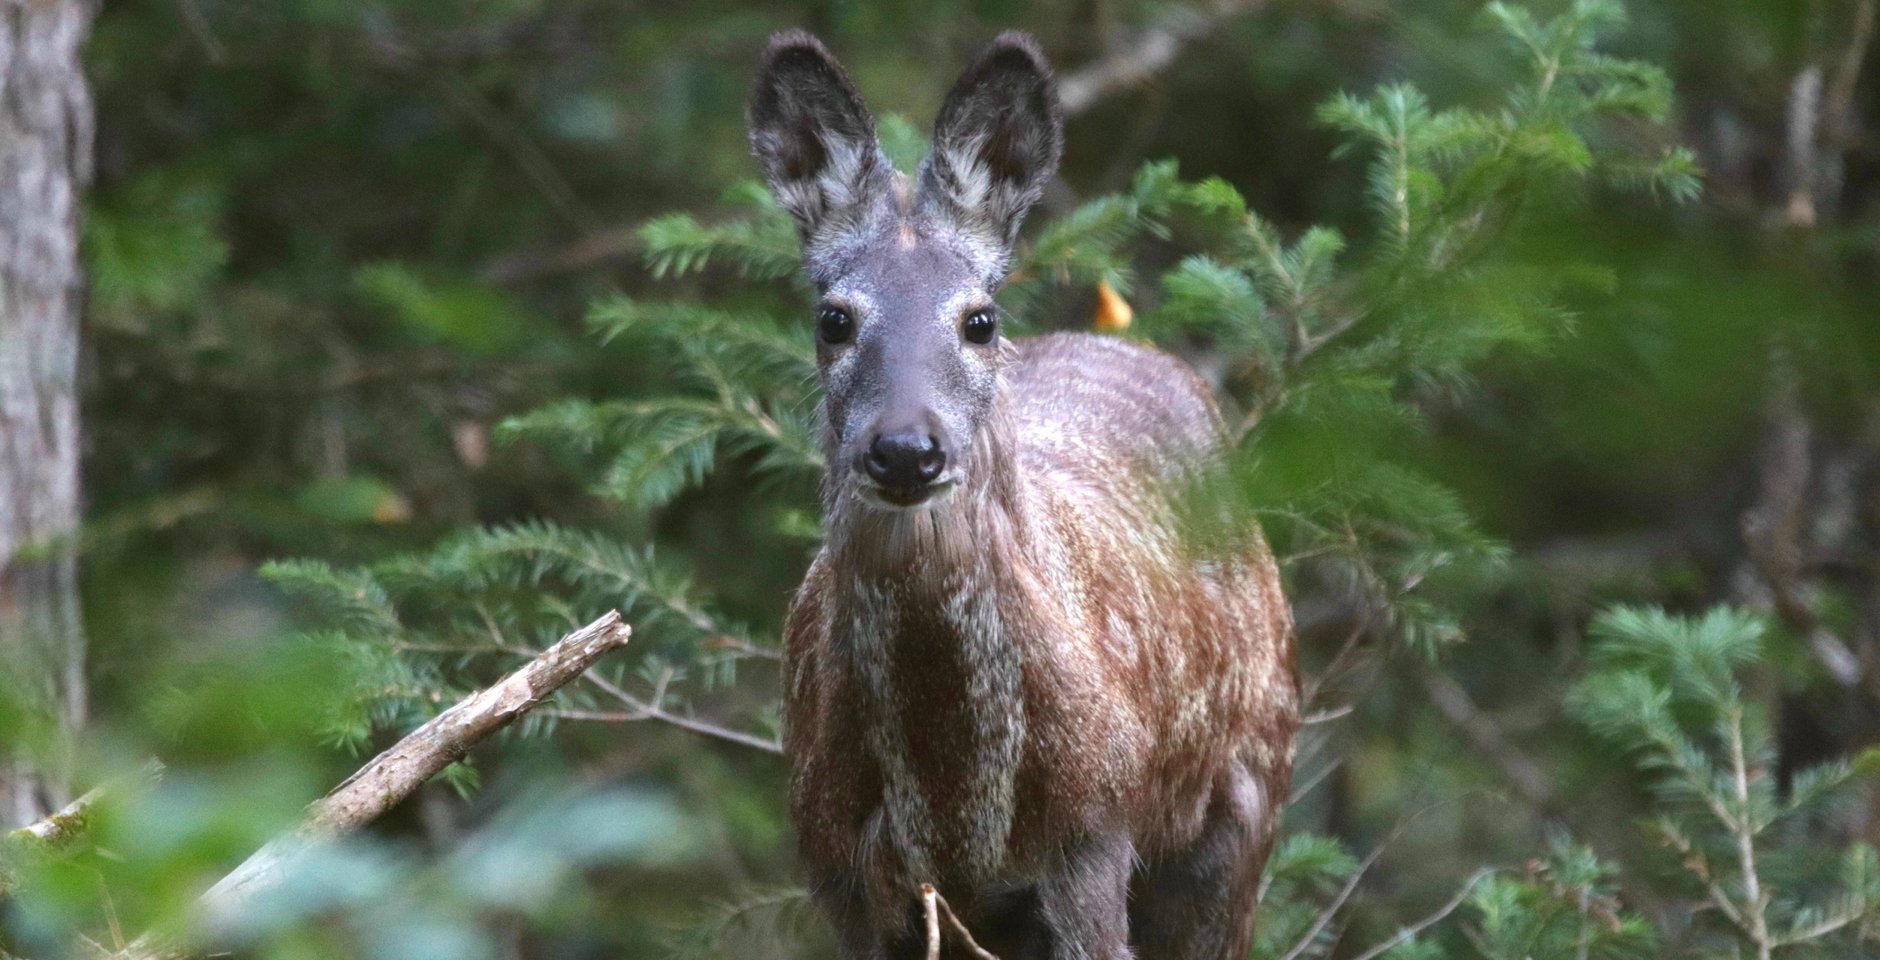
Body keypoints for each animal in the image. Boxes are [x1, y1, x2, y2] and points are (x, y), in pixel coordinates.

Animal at [755, 28, 1300, 960]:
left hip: (1250, 796)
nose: (905, 449)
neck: (952, 806)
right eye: (834, 318)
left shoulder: (1093, 831)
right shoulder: (836, 866)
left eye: (979, 319)